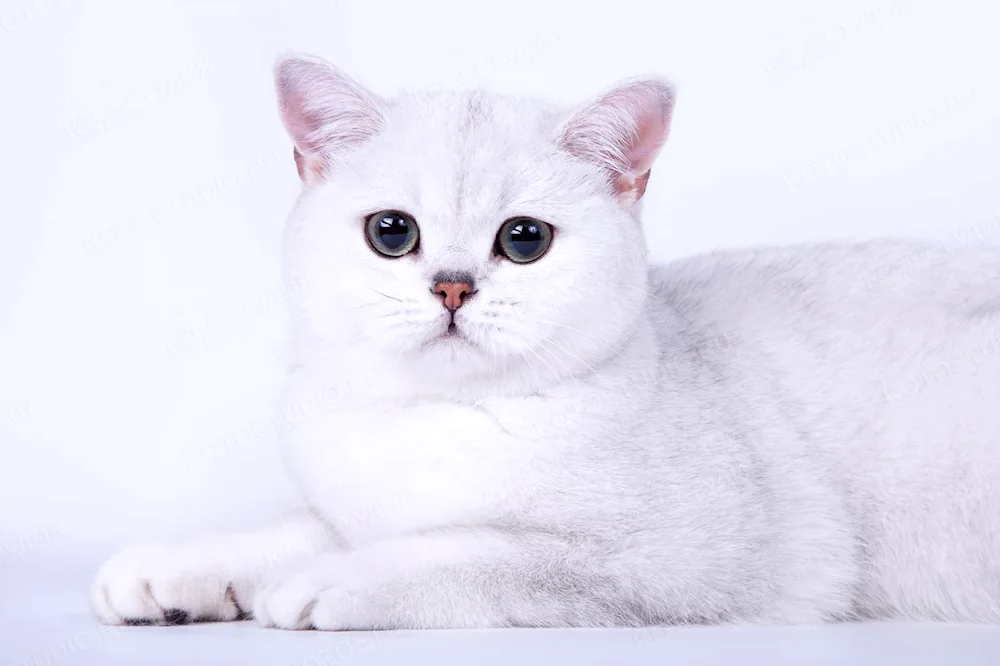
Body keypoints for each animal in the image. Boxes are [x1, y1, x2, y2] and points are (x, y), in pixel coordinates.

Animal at [92, 53, 1000, 628]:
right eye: (392, 233)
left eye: (524, 240)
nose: (453, 286)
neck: (436, 419)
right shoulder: (353, 500)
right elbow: (301, 526)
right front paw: (173, 572)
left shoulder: (685, 559)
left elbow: (469, 549)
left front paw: (327, 581)